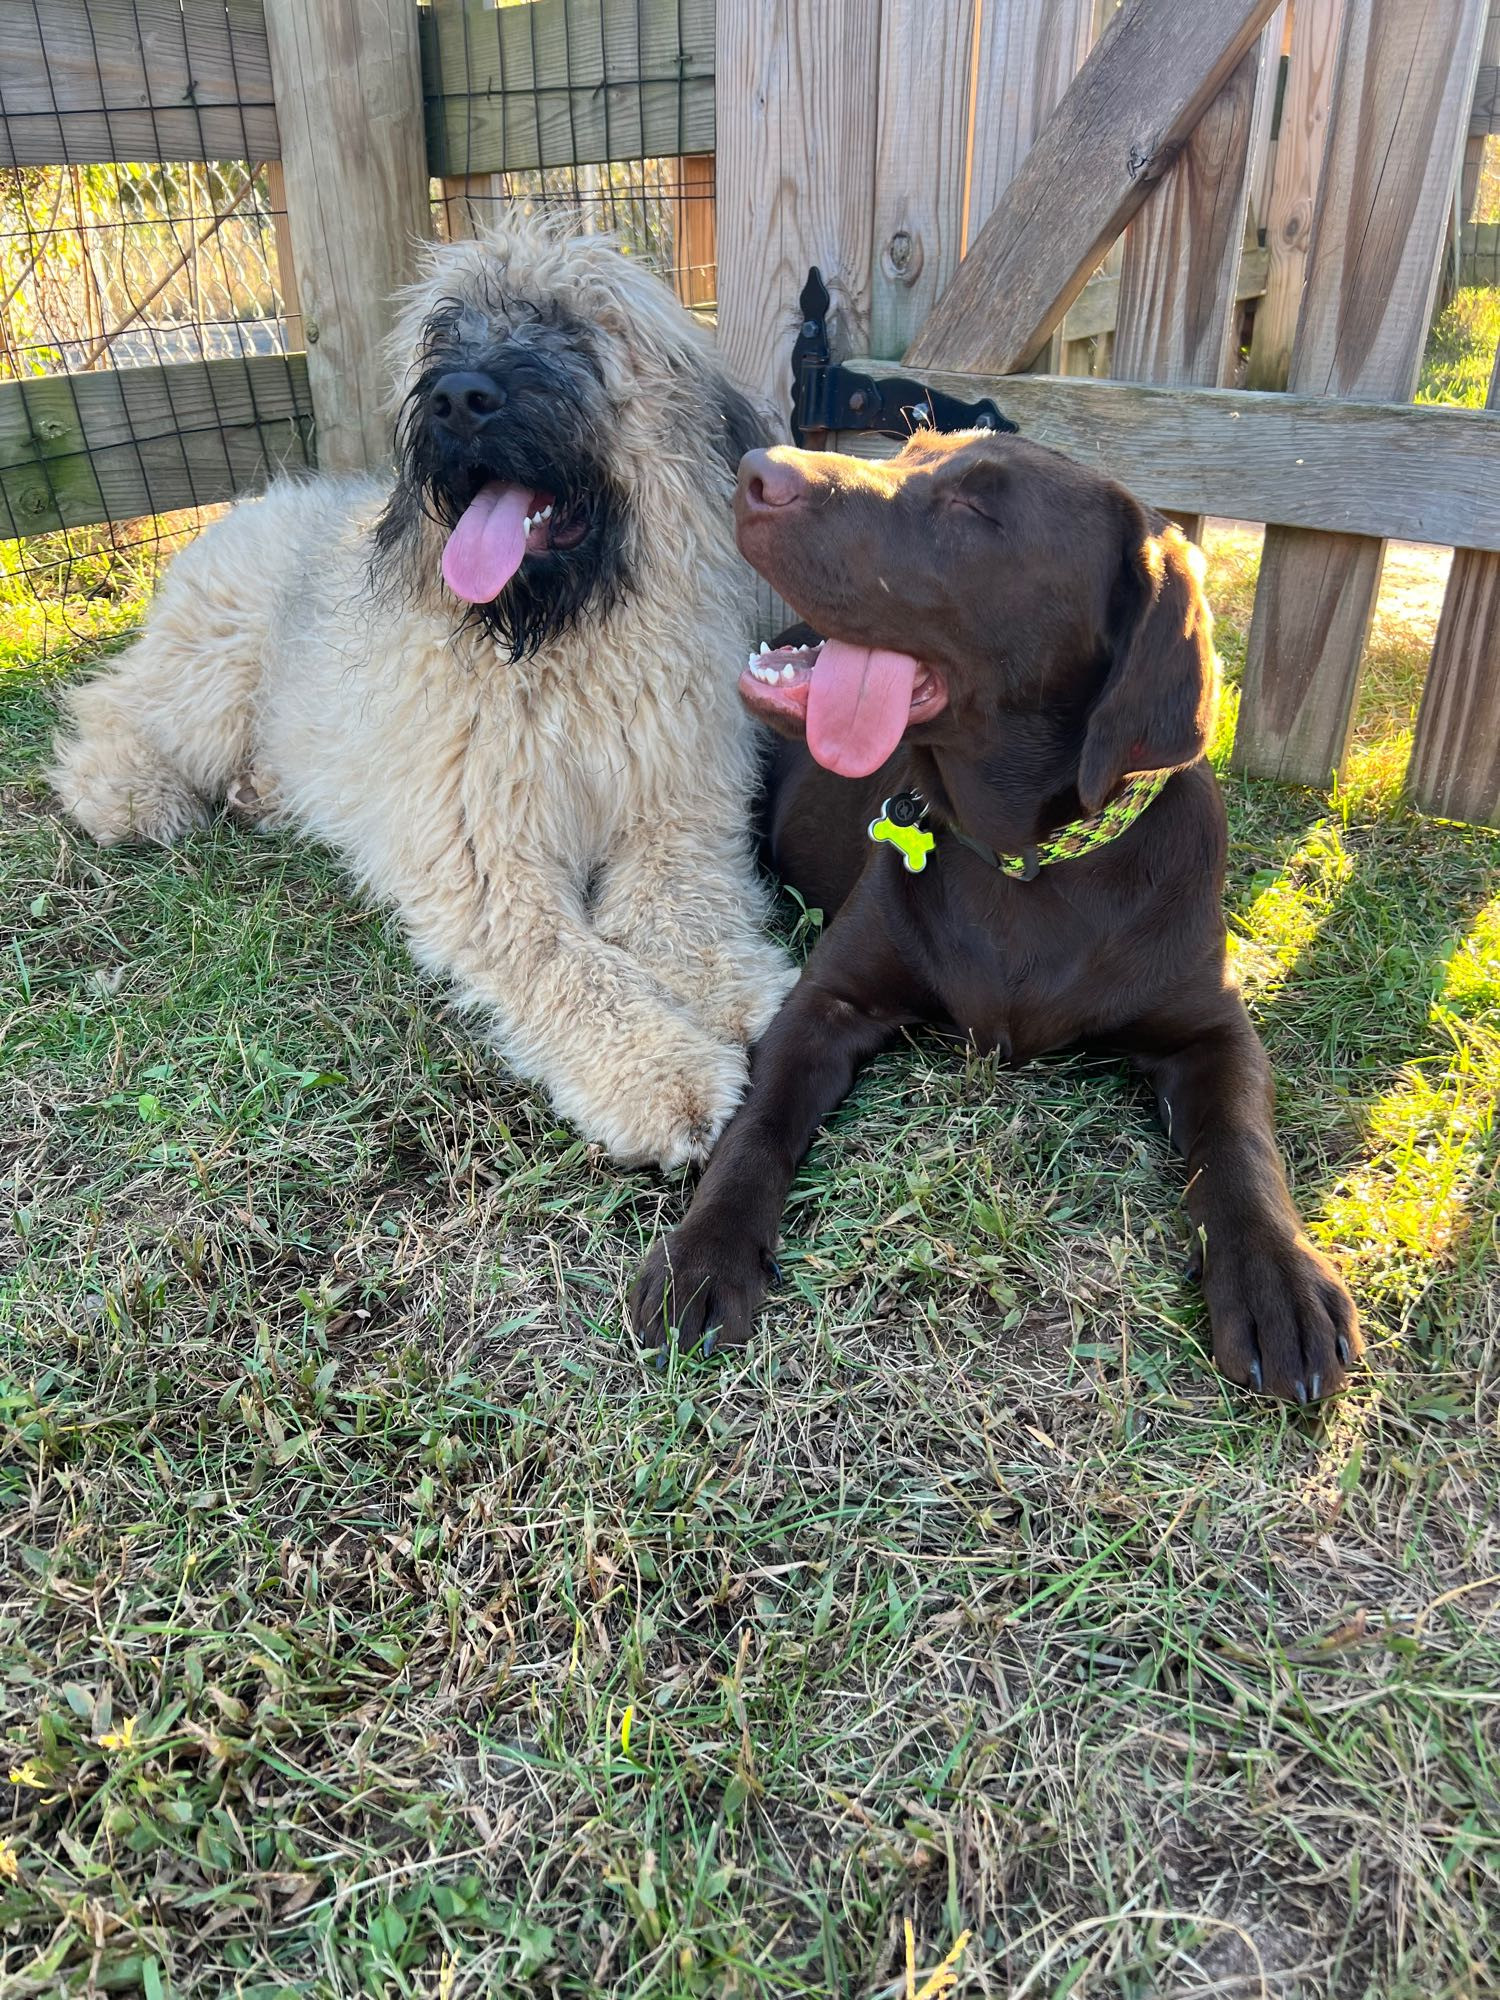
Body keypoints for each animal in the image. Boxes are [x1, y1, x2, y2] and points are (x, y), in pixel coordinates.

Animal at [53, 211, 792, 1168]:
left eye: (568, 325)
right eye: (445, 330)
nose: (458, 399)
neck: (557, 649)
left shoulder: (677, 810)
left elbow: (682, 905)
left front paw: (727, 988)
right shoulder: (488, 869)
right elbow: (570, 966)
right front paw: (663, 1074)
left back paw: (263, 794)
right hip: (212, 675)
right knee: (109, 705)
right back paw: (129, 792)